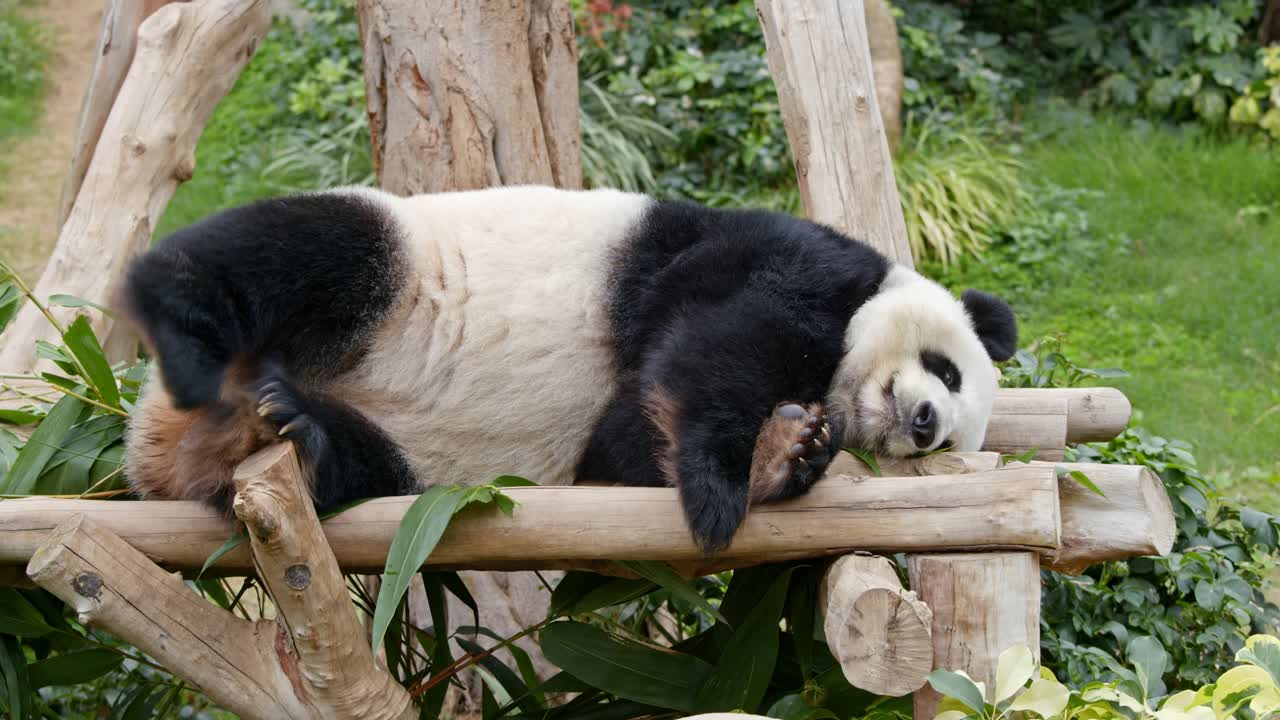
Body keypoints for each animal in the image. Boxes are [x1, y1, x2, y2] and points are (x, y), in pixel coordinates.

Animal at [119, 184, 1016, 553]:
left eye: (945, 448)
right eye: (947, 370)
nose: (924, 423)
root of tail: (159, 434)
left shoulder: (614, 437)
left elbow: (625, 445)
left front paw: (789, 455)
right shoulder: (790, 256)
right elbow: (721, 338)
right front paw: (732, 473)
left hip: (408, 464)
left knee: (358, 462)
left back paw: (288, 436)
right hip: (392, 267)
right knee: (310, 247)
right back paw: (175, 308)